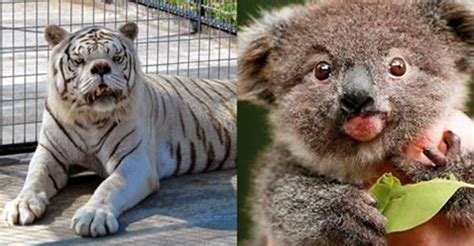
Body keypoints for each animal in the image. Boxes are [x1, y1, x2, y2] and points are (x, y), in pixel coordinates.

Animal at [1, 22, 235, 236]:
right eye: (79, 61)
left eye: (116, 58)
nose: (101, 68)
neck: (90, 118)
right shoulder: (50, 153)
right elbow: (34, 177)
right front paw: (21, 204)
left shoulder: (134, 160)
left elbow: (109, 186)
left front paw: (93, 216)